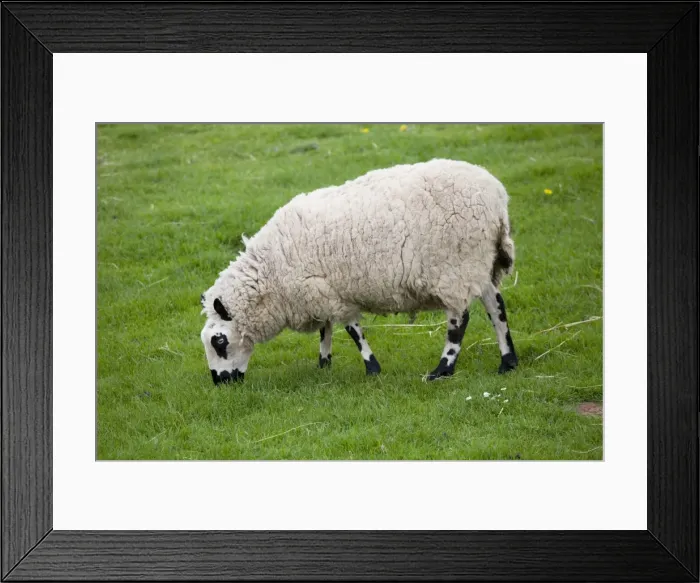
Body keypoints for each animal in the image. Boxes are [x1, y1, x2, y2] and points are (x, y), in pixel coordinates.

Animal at [200, 158, 518, 385]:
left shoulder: (333, 295)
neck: (270, 274)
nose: (220, 382)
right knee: (496, 307)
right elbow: (326, 329)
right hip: (479, 263)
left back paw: (442, 370)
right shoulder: (320, 290)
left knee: (459, 320)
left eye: (219, 341)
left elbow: (352, 330)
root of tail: (497, 198)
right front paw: (324, 363)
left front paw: (372, 368)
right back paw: (507, 362)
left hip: (455, 267)